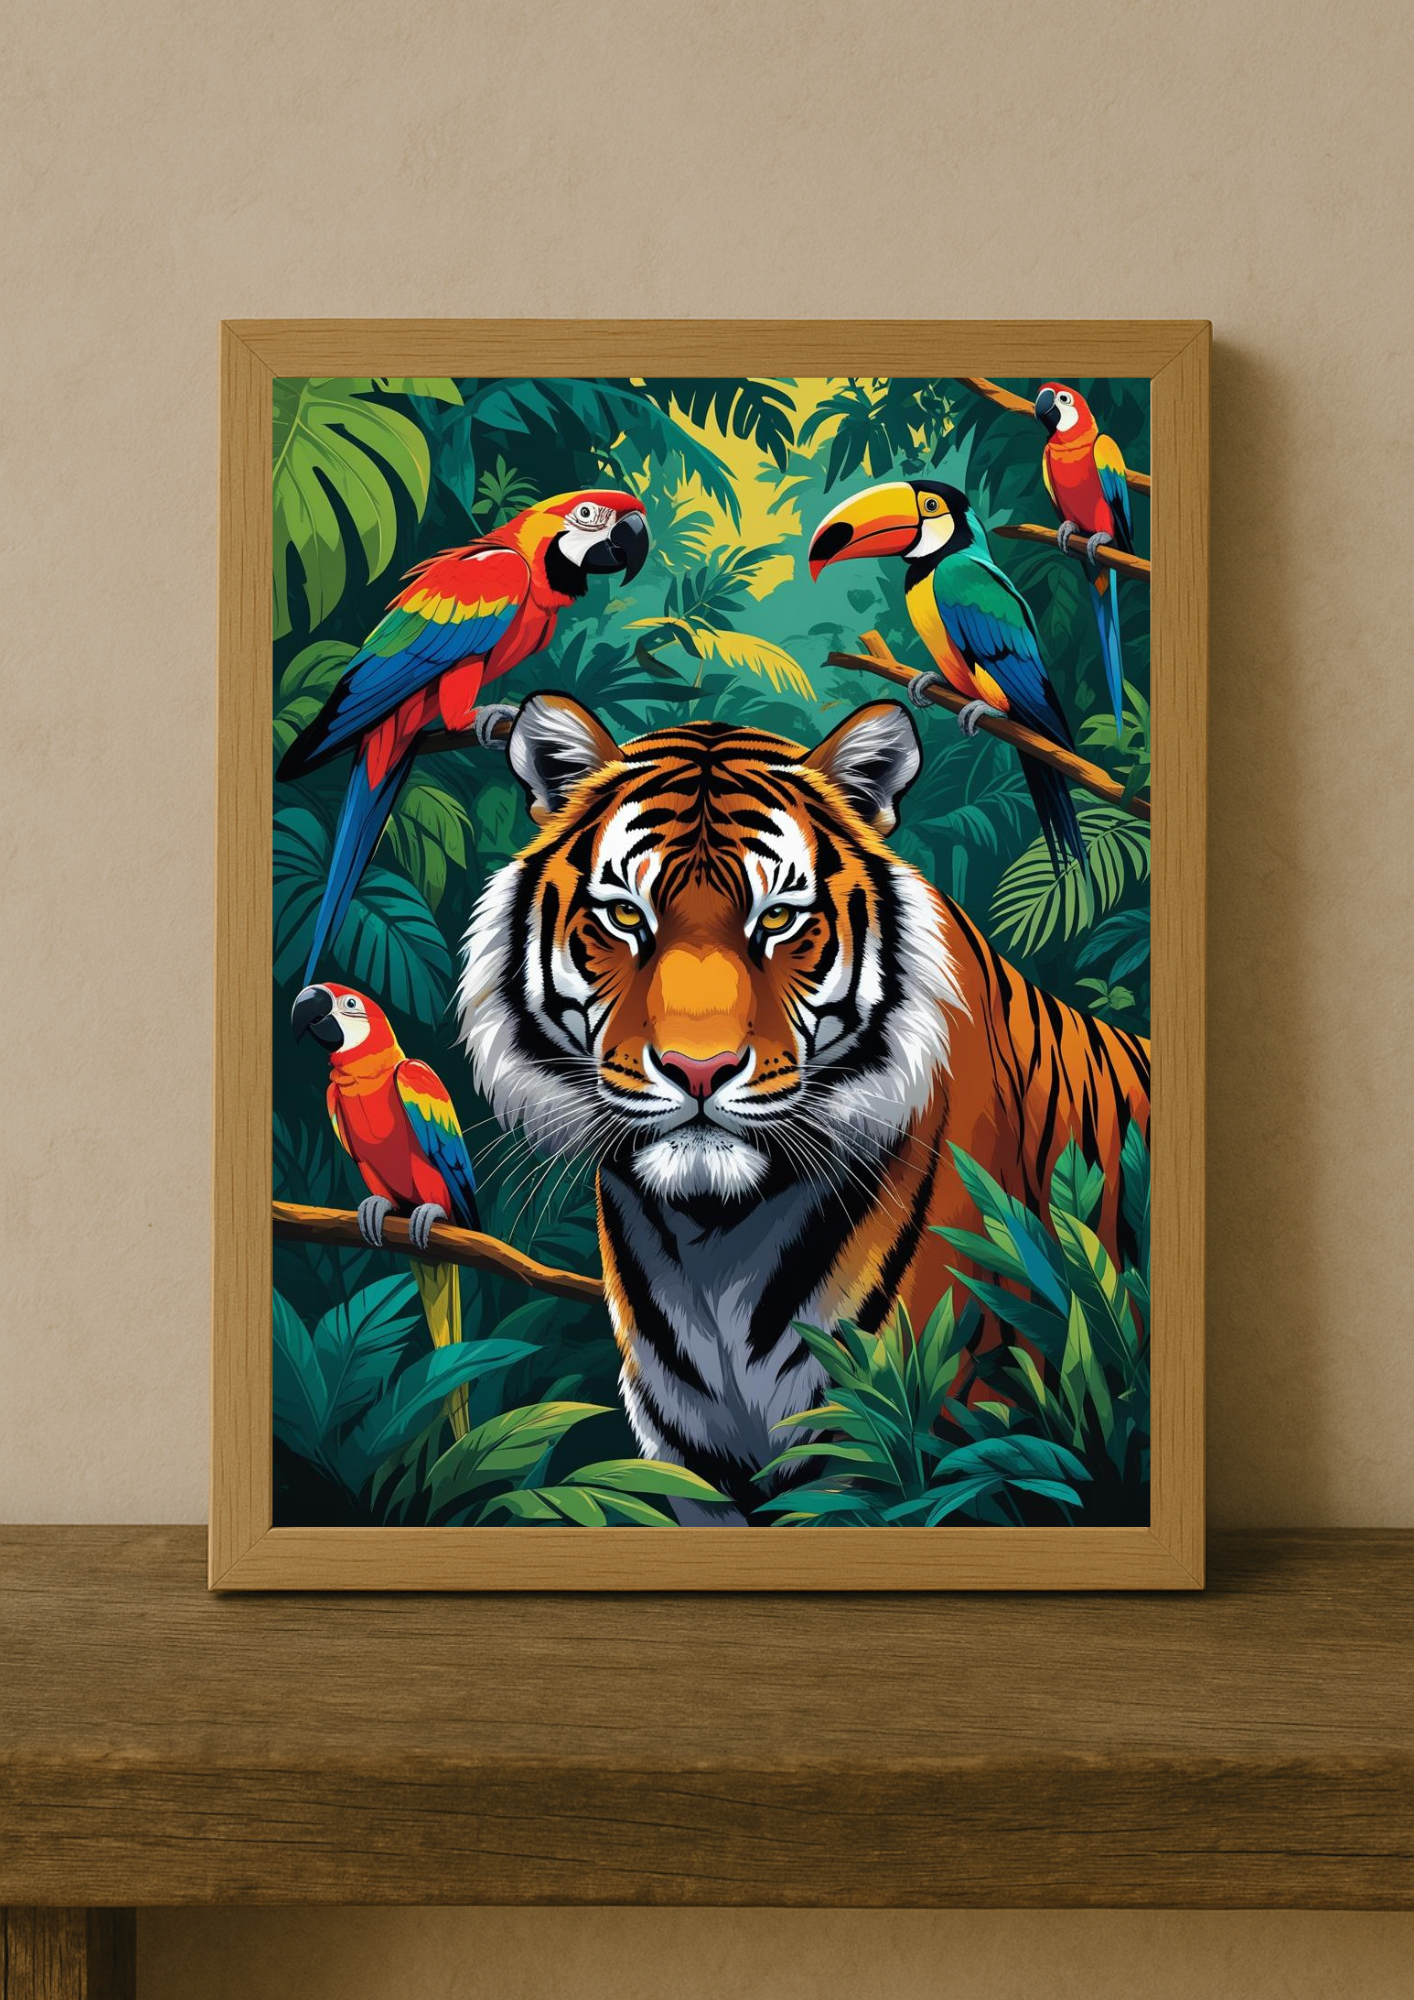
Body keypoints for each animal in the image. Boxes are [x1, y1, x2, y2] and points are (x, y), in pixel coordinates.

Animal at [458, 694, 1151, 1522]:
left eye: (777, 918)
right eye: (626, 916)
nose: (699, 1069)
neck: (708, 1245)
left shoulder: (914, 1444)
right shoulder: (696, 1465)